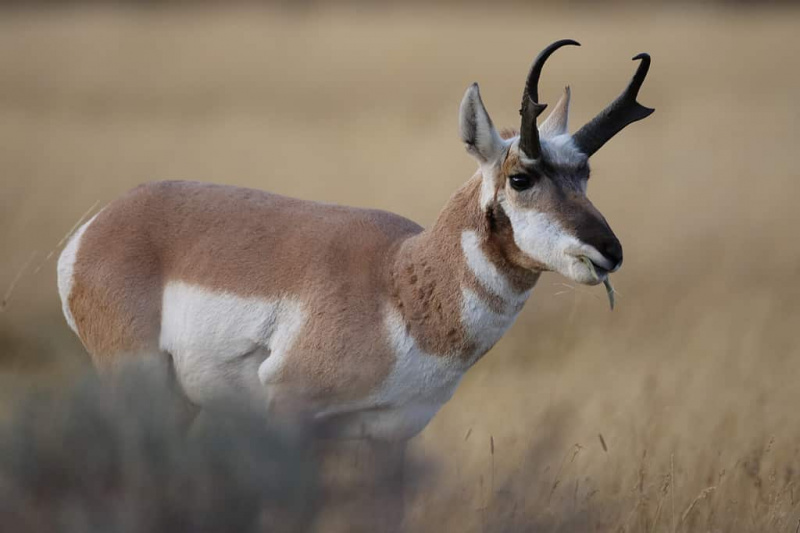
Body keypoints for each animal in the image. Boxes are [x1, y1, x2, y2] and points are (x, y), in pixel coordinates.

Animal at [57, 39, 656, 442]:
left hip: (178, 402)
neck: (401, 280)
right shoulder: (291, 414)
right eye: (520, 177)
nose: (610, 251)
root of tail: (101, 223)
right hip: (138, 384)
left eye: (584, 172)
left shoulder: (388, 437)